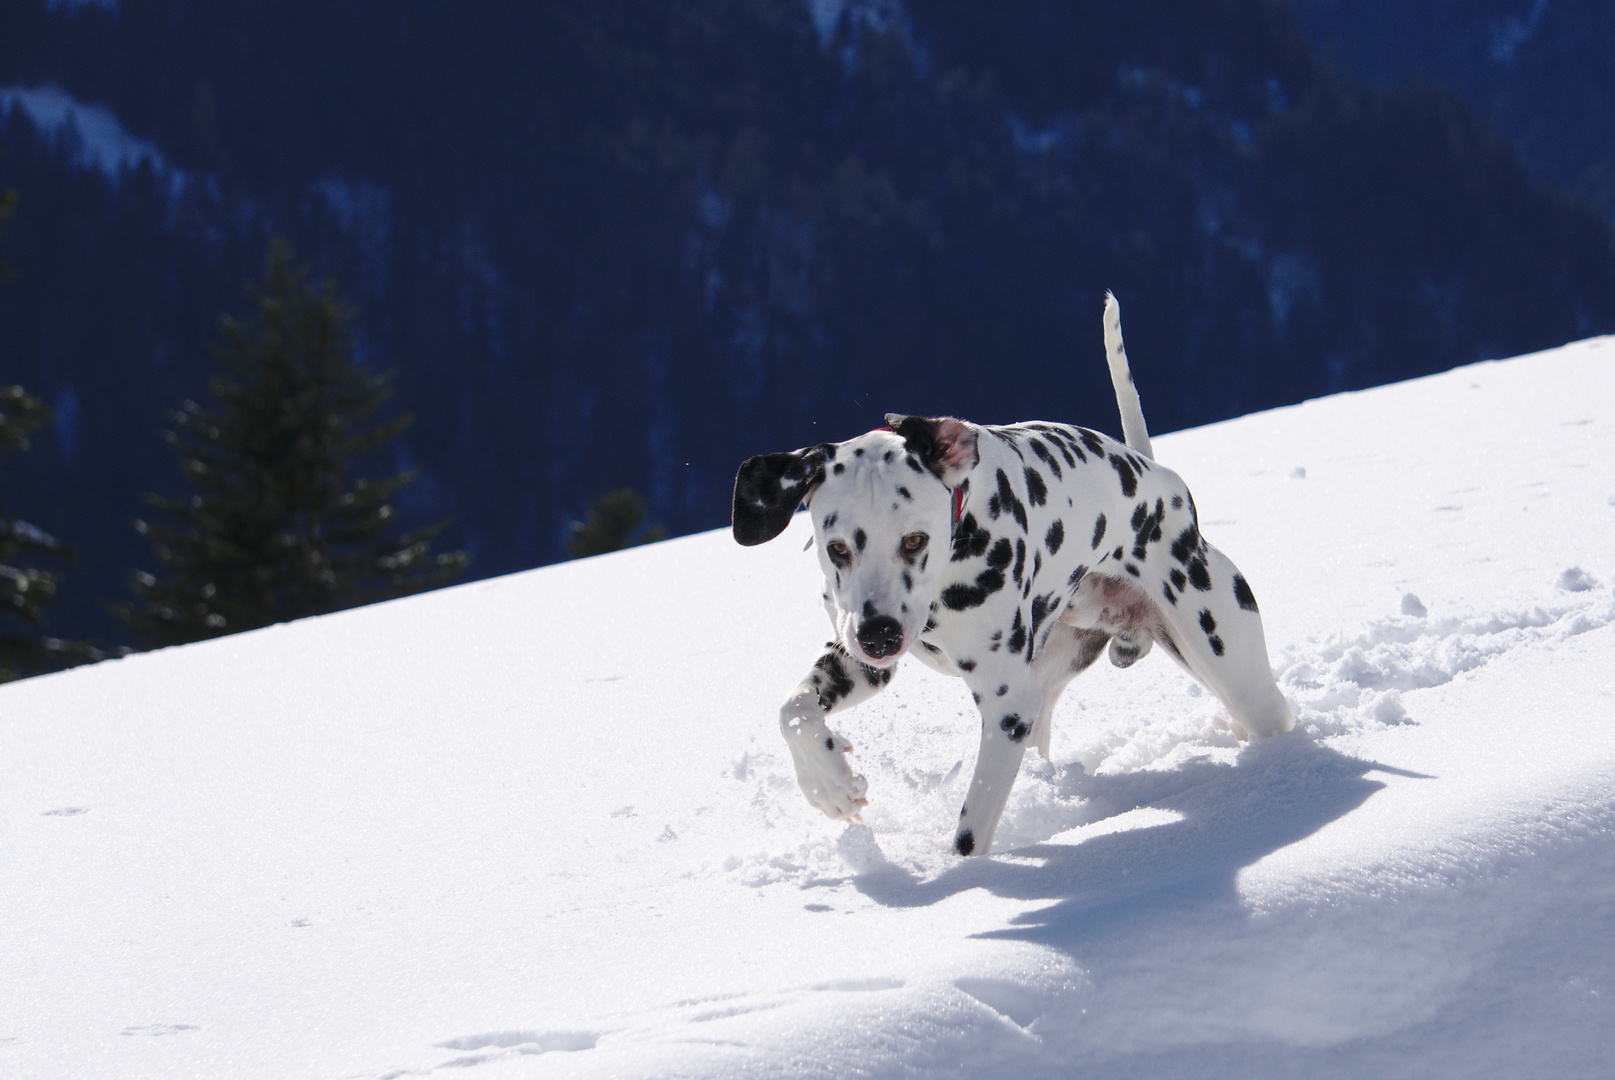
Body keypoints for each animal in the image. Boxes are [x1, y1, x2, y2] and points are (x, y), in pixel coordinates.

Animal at [739, 290, 1292, 852]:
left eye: (915, 539)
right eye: (837, 548)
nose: (880, 636)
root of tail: (1160, 479)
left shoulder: (1008, 707)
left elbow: (971, 830)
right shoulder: (861, 663)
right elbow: (794, 709)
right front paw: (827, 783)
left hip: (1231, 664)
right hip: (1050, 680)